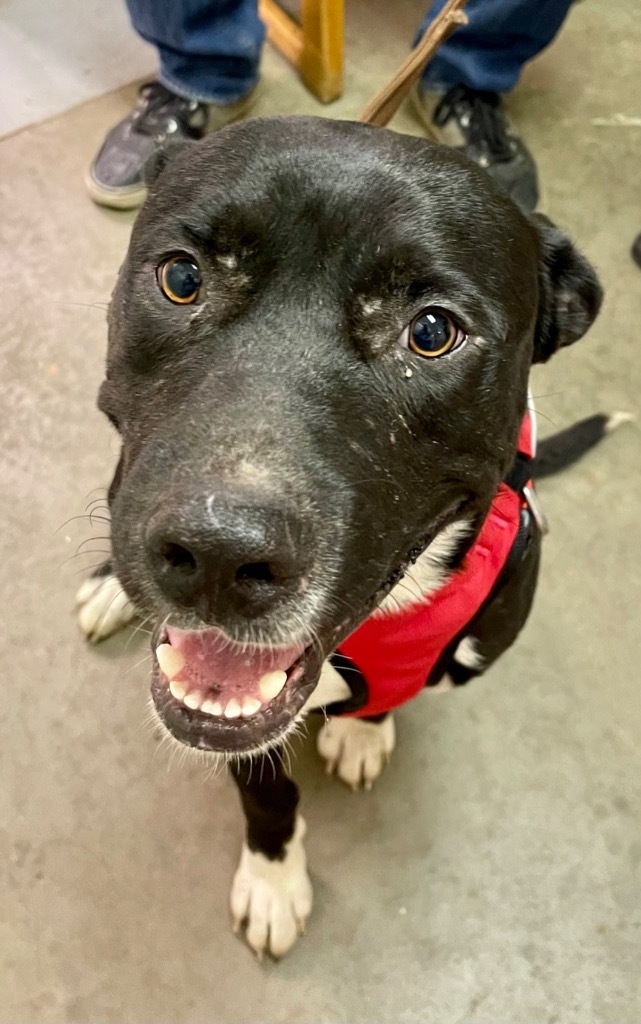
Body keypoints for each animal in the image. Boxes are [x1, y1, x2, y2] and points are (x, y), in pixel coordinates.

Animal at [77, 117, 602, 958]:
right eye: (181, 277)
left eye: (431, 332)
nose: (218, 555)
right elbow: (265, 792)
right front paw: (273, 882)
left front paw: (361, 731)